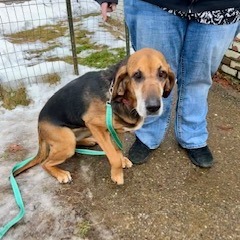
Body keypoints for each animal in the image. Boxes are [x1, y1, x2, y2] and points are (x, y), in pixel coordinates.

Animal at [14, 47, 175, 185]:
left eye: (162, 74)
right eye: (137, 75)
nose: (153, 107)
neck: (121, 97)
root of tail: (39, 125)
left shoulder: (116, 130)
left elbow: (117, 149)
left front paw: (122, 160)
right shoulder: (95, 126)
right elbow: (114, 157)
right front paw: (117, 174)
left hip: (80, 132)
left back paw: (88, 141)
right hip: (67, 140)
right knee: (45, 163)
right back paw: (60, 174)